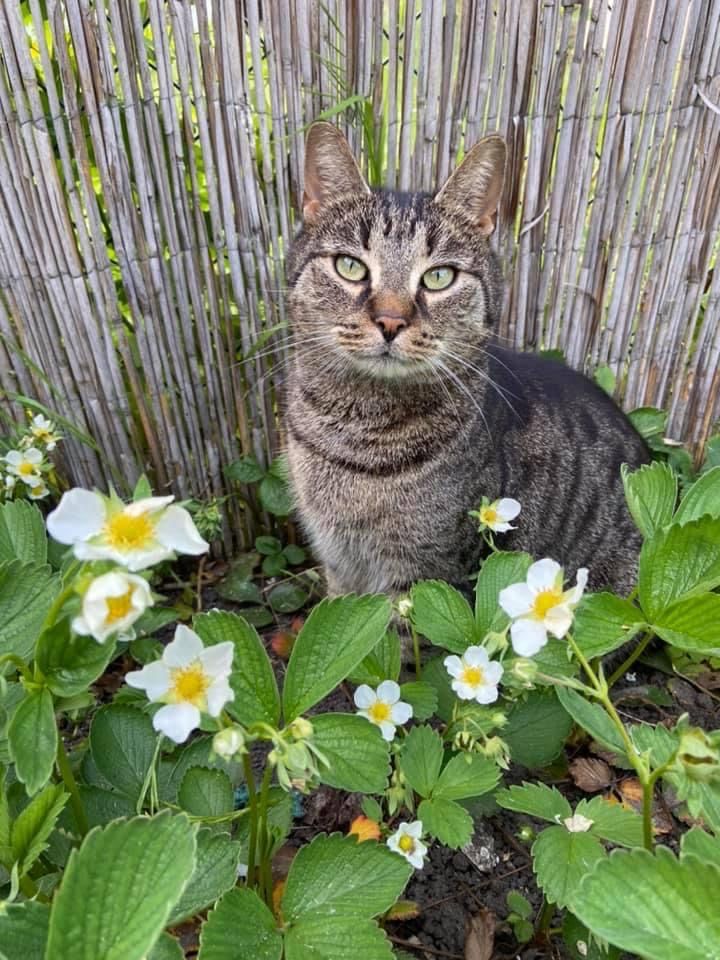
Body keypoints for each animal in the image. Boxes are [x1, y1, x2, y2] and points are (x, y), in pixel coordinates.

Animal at [284, 120, 648, 600]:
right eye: (350, 267)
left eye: (439, 277)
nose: (390, 320)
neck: (355, 433)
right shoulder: (340, 568)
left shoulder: (425, 574)